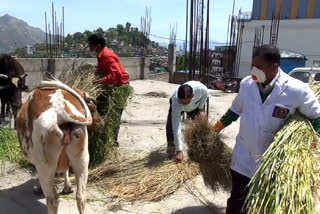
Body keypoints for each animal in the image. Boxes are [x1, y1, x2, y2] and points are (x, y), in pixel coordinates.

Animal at [15, 80, 103, 214]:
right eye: (93, 108)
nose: (102, 123)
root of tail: (60, 111)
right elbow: (66, 169)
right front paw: (67, 187)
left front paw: (38, 188)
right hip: (82, 157)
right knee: (81, 196)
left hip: (44, 163)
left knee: (53, 200)